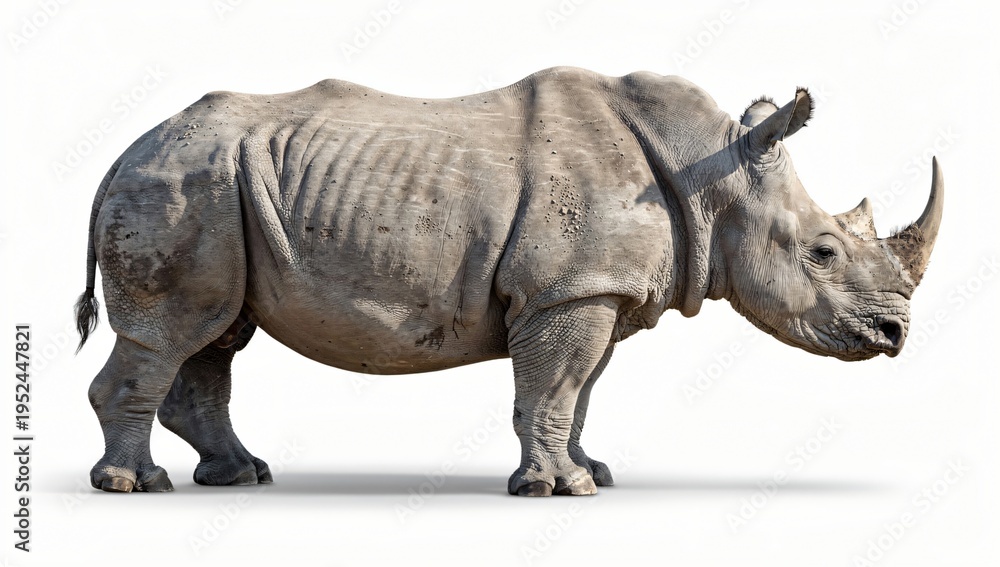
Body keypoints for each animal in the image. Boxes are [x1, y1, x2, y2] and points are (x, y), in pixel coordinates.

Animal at [75, 66, 942, 496]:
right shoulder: (571, 289)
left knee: (213, 334)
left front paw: (592, 473)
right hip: (180, 183)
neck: (712, 172)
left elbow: (579, 391)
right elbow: (554, 387)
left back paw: (240, 476)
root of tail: (120, 153)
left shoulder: (594, 289)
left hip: (217, 187)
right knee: (172, 331)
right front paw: (558, 489)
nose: (896, 333)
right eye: (824, 252)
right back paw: (135, 485)